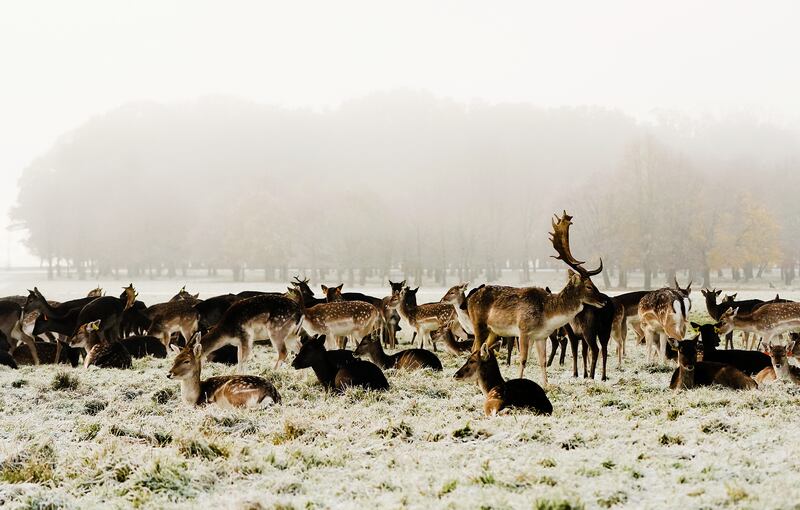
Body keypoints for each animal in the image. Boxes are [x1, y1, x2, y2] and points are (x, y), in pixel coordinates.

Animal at [466, 209, 604, 384]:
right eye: (588, 286)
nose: (604, 300)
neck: (547, 315)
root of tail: (470, 298)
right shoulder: (523, 330)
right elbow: (523, 359)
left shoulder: (541, 336)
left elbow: (542, 361)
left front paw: (546, 385)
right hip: (479, 325)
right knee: (474, 348)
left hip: (492, 331)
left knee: (478, 349)